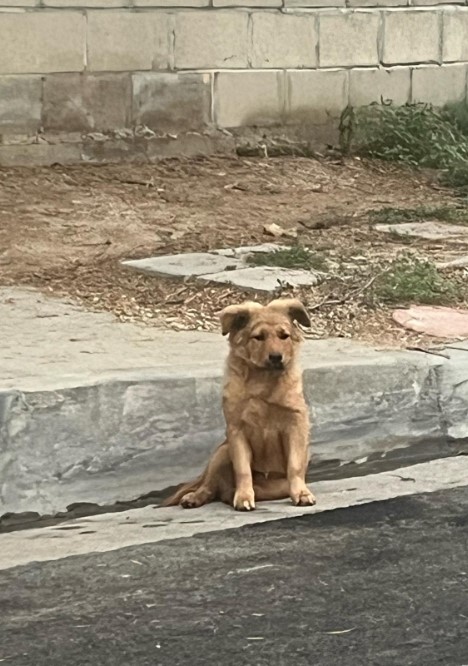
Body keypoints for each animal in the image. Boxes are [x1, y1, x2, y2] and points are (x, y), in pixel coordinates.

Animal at [163, 296, 316, 508]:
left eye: (283, 336)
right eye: (258, 337)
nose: (276, 357)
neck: (263, 380)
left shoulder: (295, 424)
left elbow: (295, 465)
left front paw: (301, 493)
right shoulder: (236, 430)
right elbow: (243, 469)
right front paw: (243, 496)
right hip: (222, 452)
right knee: (208, 486)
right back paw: (197, 497)